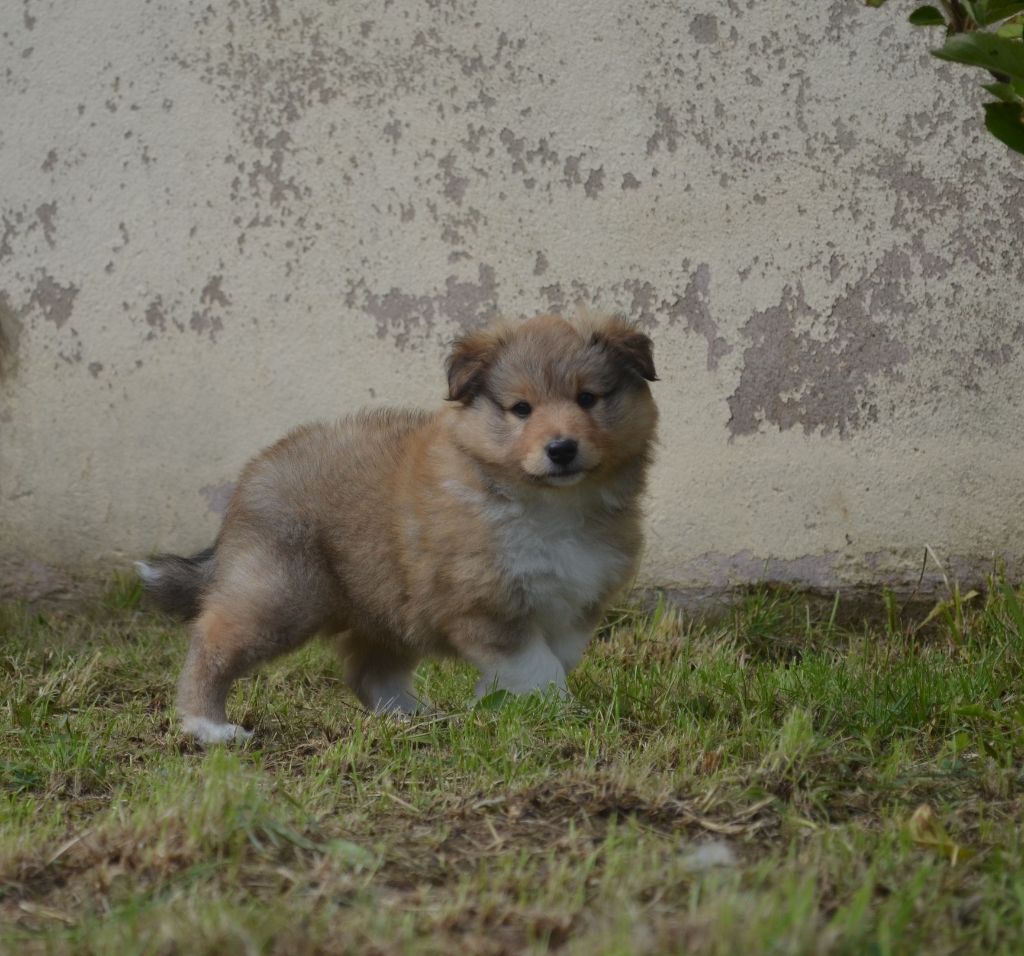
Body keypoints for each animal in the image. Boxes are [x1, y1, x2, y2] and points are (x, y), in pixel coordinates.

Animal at [136, 311, 659, 745]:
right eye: (522, 409)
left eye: (588, 398)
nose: (561, 449)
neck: (550, 505)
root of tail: (254, 473)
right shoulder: (485, 606)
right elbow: (538, 665)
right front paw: (560, 710)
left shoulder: (576, 604)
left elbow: (552, 659)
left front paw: (501, 703)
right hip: (280, 593)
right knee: (211, 639)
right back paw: (208, 726)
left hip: (390, 606)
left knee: (370, 673)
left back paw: (414, 716)